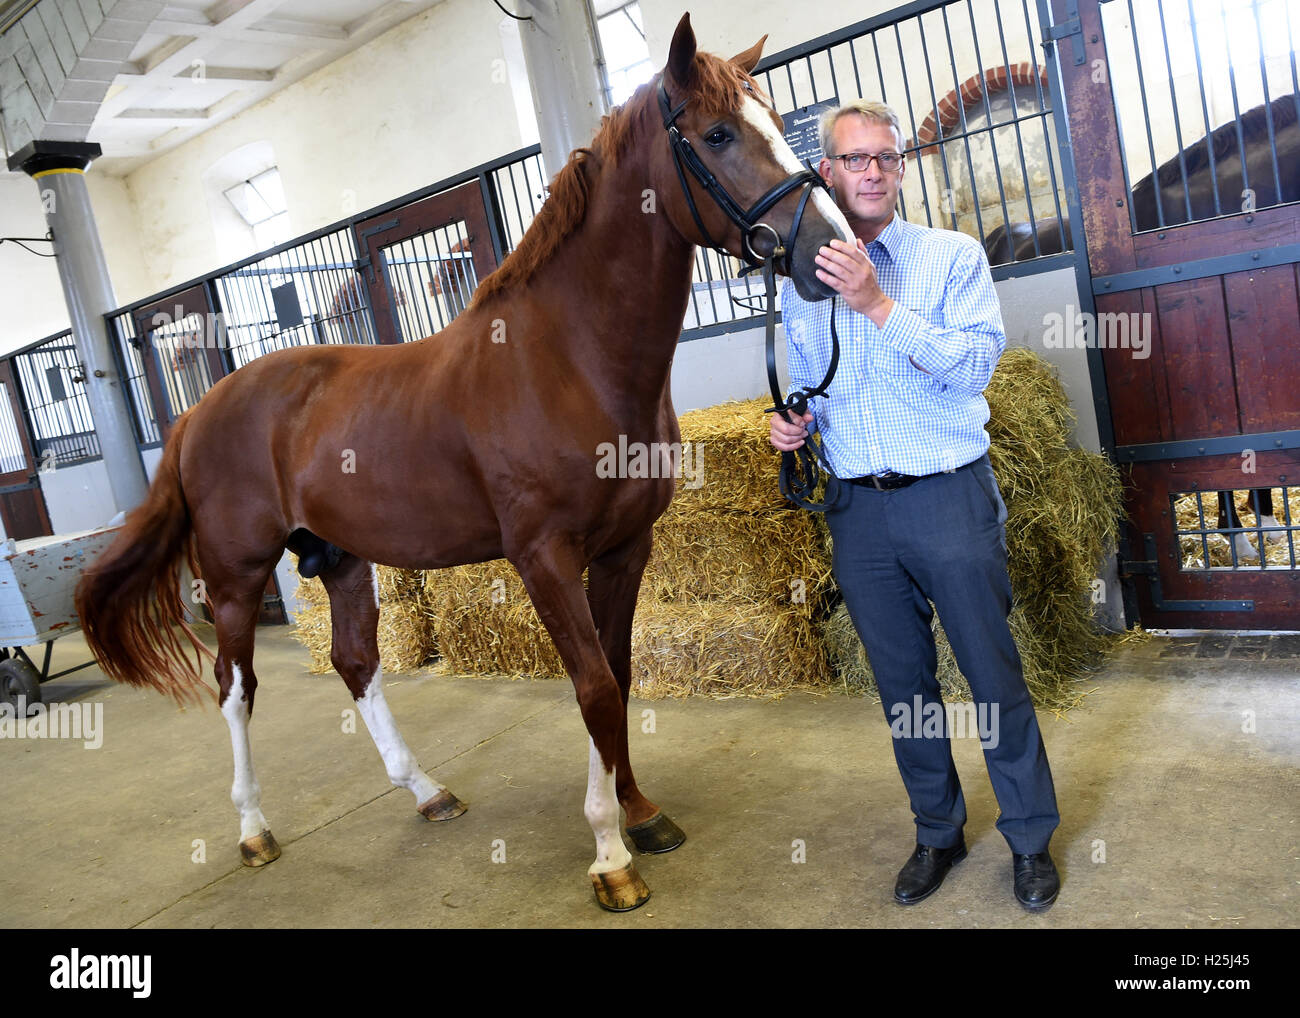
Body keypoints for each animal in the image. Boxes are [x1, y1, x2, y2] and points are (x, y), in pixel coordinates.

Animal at [73, 11, 852, 910]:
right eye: (719, 133)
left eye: (776, 118)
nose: (830, 249)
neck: (566, 359)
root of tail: (198, 412)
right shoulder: (543, 557)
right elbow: (592, 687)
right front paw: (608, 855)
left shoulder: (626, 548)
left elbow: (619, 676)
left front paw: (639, 813)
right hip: (236, 574)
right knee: (236, 690)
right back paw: (253, 829)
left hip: (339, 558)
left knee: (355, 662)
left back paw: (426, 792)